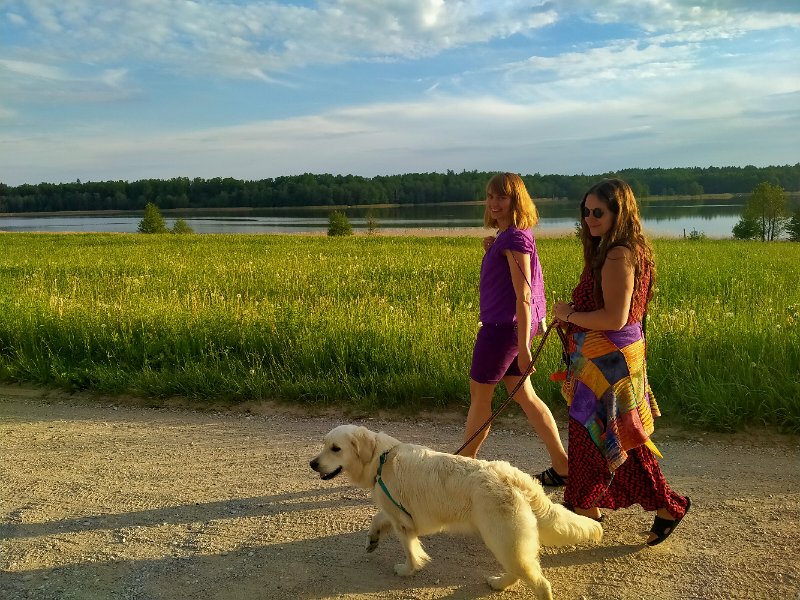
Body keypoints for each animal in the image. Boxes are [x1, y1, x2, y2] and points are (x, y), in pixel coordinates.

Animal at [309, 424, 603, 599]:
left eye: (336, 448)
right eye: (323, 445)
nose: (312, 464)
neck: (382, 459)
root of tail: (513, 475)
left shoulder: (404, 522)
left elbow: (410, 550)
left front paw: (408, 570)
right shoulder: (395, 511)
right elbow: (377, 518)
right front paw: (372, 540)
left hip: (503, 539)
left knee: (538, 581)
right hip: (507, 541)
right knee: (521, 570)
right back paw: (498, 583)